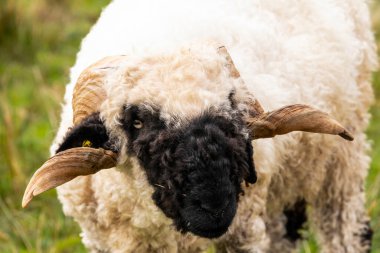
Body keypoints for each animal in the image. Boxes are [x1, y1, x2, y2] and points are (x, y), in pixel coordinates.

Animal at [23, 0, 378, 252]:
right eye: (136, 121)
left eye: (232, 106)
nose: (214, 209)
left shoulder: (242, 231)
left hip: (342, 158)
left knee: (345, 229)